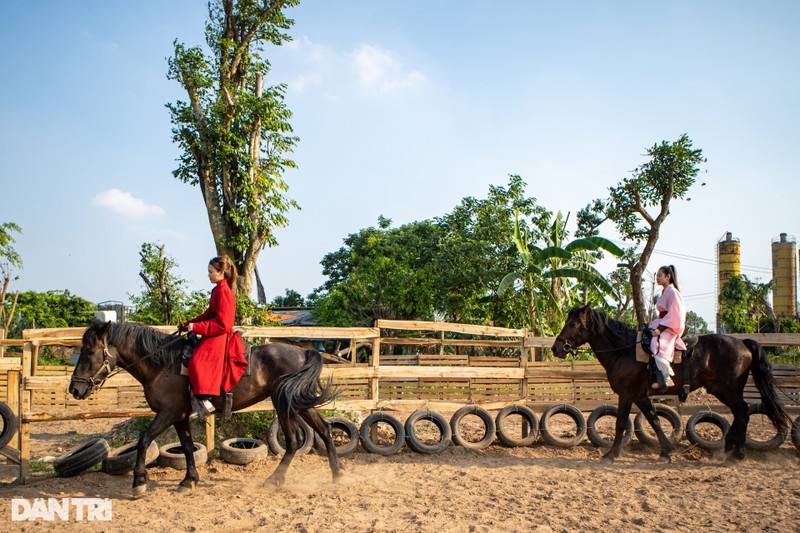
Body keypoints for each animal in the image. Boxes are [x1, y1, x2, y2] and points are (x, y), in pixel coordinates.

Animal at [69, 320, 340, 498]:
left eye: (90, 351)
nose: (75, 389)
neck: (162, 365)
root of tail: (303, 353)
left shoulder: (167, 413)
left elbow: (144, 440)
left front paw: (139, 482)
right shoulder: (179, 416)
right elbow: (187, 446)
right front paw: (189, 480)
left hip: (284, 403)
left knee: (293, 441)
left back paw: (275, 479)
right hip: (299, 404)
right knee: (324, 430)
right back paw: (337, 474)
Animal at [552, 306, 788, 464]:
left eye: (573, 324)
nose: (556, 348)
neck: (624, 350)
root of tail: (743, 342)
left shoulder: (626, 395)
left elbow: (620, 423)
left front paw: (611, 454)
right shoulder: (641, 396)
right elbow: (654, 420)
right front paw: (666, 451)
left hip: (729, 390)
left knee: (743, 413)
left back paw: (737, 453)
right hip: (720, 390)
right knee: (740, 414)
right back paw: (729, 448)